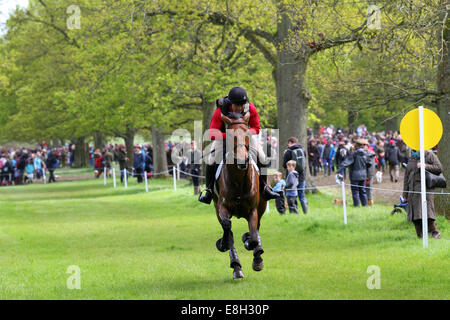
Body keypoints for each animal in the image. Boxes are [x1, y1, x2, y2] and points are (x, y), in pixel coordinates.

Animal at [212, 111, 266, 278]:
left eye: (247, 133)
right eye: (230, 135)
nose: (242, 161)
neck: (238, 178)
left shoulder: (253, 210)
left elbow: (254, 237)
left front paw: (256, 256)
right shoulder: (222, 208)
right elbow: (227, 227)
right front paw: (223, 244)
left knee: (257, 228)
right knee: (228, 230)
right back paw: (236, 266)